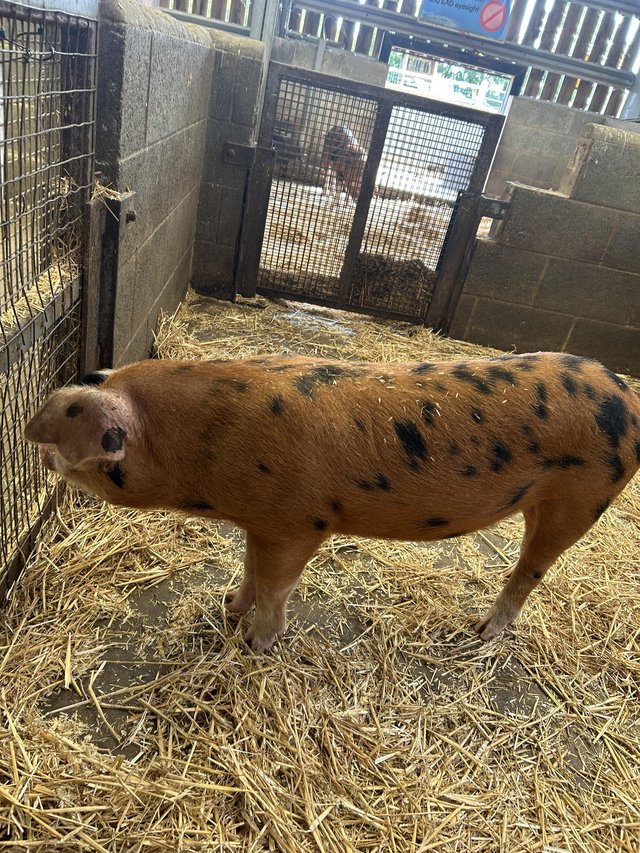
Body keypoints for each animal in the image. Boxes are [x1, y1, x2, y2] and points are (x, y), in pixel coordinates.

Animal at [24, 353, 640, 652]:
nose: (40, 451)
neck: (203, 443)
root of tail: (625, 392)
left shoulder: (298, 522)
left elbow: (277, 585)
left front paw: (256, 643)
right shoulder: (259, 521)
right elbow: (250, 568)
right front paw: (228, 606)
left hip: (583, 498)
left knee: (531, 570)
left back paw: (481, 632)